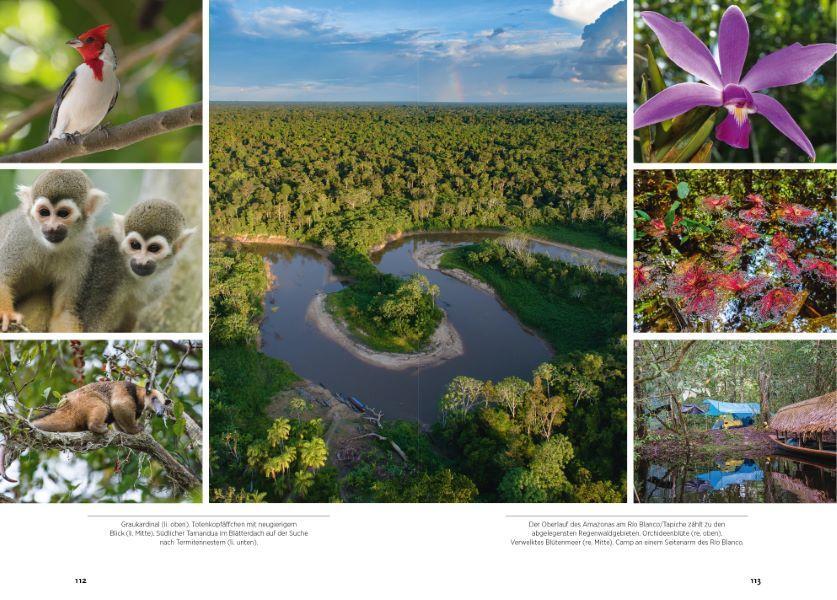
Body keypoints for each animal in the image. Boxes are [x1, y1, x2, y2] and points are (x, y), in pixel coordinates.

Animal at [0, 170, 106, 332]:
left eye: (63, 213)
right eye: (44, 212)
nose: (52, 228)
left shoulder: (85, 246)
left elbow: (63, 312)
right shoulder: (20, 233)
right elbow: (2, 279)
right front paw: (6, 314)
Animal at [31, 382, 171, 434]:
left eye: (164, 406)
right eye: (154, 398)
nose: (159, 413)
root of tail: (66, 406)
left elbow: (118, 420)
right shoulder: (123, 390)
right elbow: (119, 405)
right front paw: (136, 429)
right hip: (85, 401)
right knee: (101, 407)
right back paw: (99, 427)